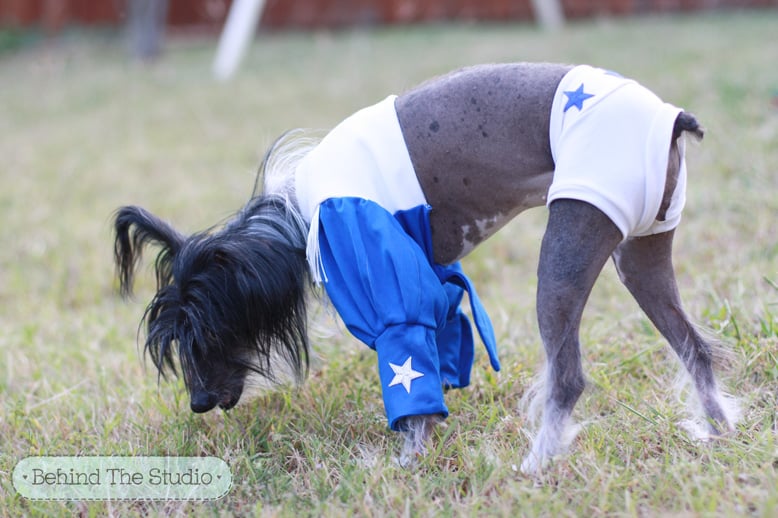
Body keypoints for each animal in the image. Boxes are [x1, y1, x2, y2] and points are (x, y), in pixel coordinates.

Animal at [112, 62, 736, 476]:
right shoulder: (432, 278)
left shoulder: (386, 288)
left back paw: (533, 466)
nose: (197, 403)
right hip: (643, 257)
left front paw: (403, 464)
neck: (292, 216)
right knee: (694, 348)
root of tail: (672, 118)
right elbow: (436, 354)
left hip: (564, 255)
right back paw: (719, 433)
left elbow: (406, 366)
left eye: (206, 334)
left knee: (568, 378)